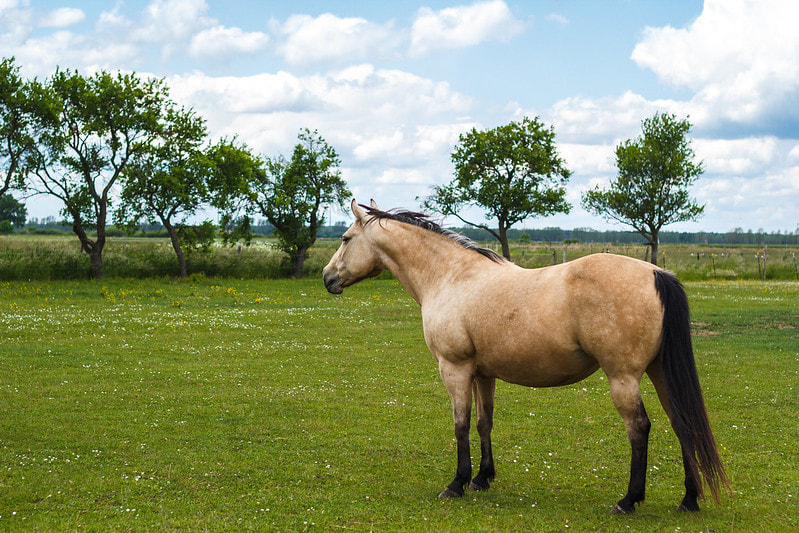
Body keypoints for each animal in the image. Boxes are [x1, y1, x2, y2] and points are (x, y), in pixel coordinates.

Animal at [322, 199, 729, 514]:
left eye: (345, 238)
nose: (327, 278)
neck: (451, 277)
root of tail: (657, 273)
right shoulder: (483, 373)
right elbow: (484, 423)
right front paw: (482, 478)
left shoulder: (454, 369)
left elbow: (461, 424)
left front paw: (456, 483)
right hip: (659, 372)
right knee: (682, 423)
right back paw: (689, 500)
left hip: (623, 377)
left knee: (639, 428)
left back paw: (628, 501)